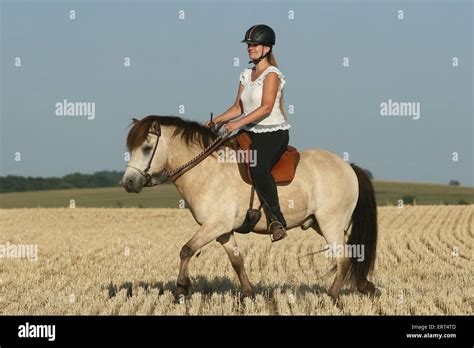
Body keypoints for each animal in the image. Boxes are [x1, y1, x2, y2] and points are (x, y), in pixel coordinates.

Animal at [120, 115, 380, 300]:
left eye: (146, 148)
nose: (128, 183)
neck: (207, 169)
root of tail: (348, 166)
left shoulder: (214, 225)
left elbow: (186, 249)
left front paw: (182, 288)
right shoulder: (223, 231)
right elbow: (237, 261)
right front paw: (248, 294)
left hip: (330, 222)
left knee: (343, 256)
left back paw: (333, 296)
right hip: (319, 222)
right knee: (351, 253)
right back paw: (365, 287)